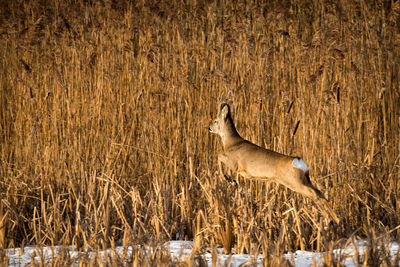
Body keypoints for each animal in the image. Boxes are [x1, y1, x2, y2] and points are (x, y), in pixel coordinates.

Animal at [209, 103, 340, 225]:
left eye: (215, 120)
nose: (209, 127)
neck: (231, 143)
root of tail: (299, 161)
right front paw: (232, 181)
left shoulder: (235, 163)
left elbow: (218, 155)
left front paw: (227, 179)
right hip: (304, 179)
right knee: (319, 192)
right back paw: (336, 219)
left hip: (294, 182)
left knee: (313, 193)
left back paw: (329, 219)